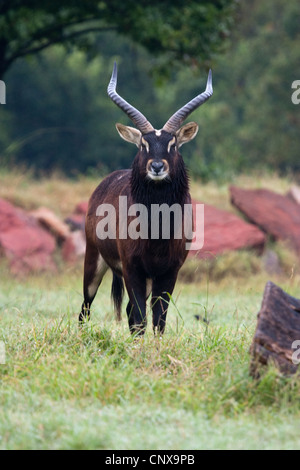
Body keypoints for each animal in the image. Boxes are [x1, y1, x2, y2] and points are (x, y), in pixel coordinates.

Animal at [78, 62, 212, 334]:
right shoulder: (132, 268)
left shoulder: (169, 271)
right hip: (94, 261)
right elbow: (140, 315)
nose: (157, 166)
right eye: (143, 144)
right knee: (86, 306)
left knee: (129, 310)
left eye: (173, 144)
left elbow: (159, 318)